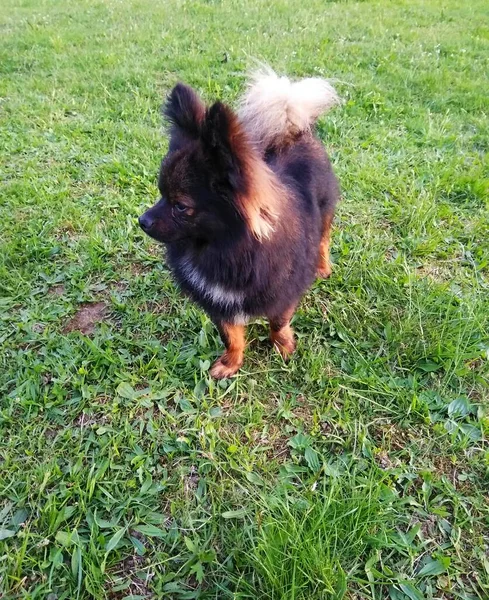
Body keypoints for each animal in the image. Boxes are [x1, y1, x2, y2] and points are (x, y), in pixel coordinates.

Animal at [138, 68, 340, 378]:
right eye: (161, 193)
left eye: (181, 206)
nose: (142, 221)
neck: (225, 250)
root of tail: (292, 131)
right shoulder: (217, 303)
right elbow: (231, 335)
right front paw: (231, 363)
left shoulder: (283, 294)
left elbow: (278, 323)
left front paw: (283, 346)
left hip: (326, 212)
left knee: (324, 240)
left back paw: (322, 266)